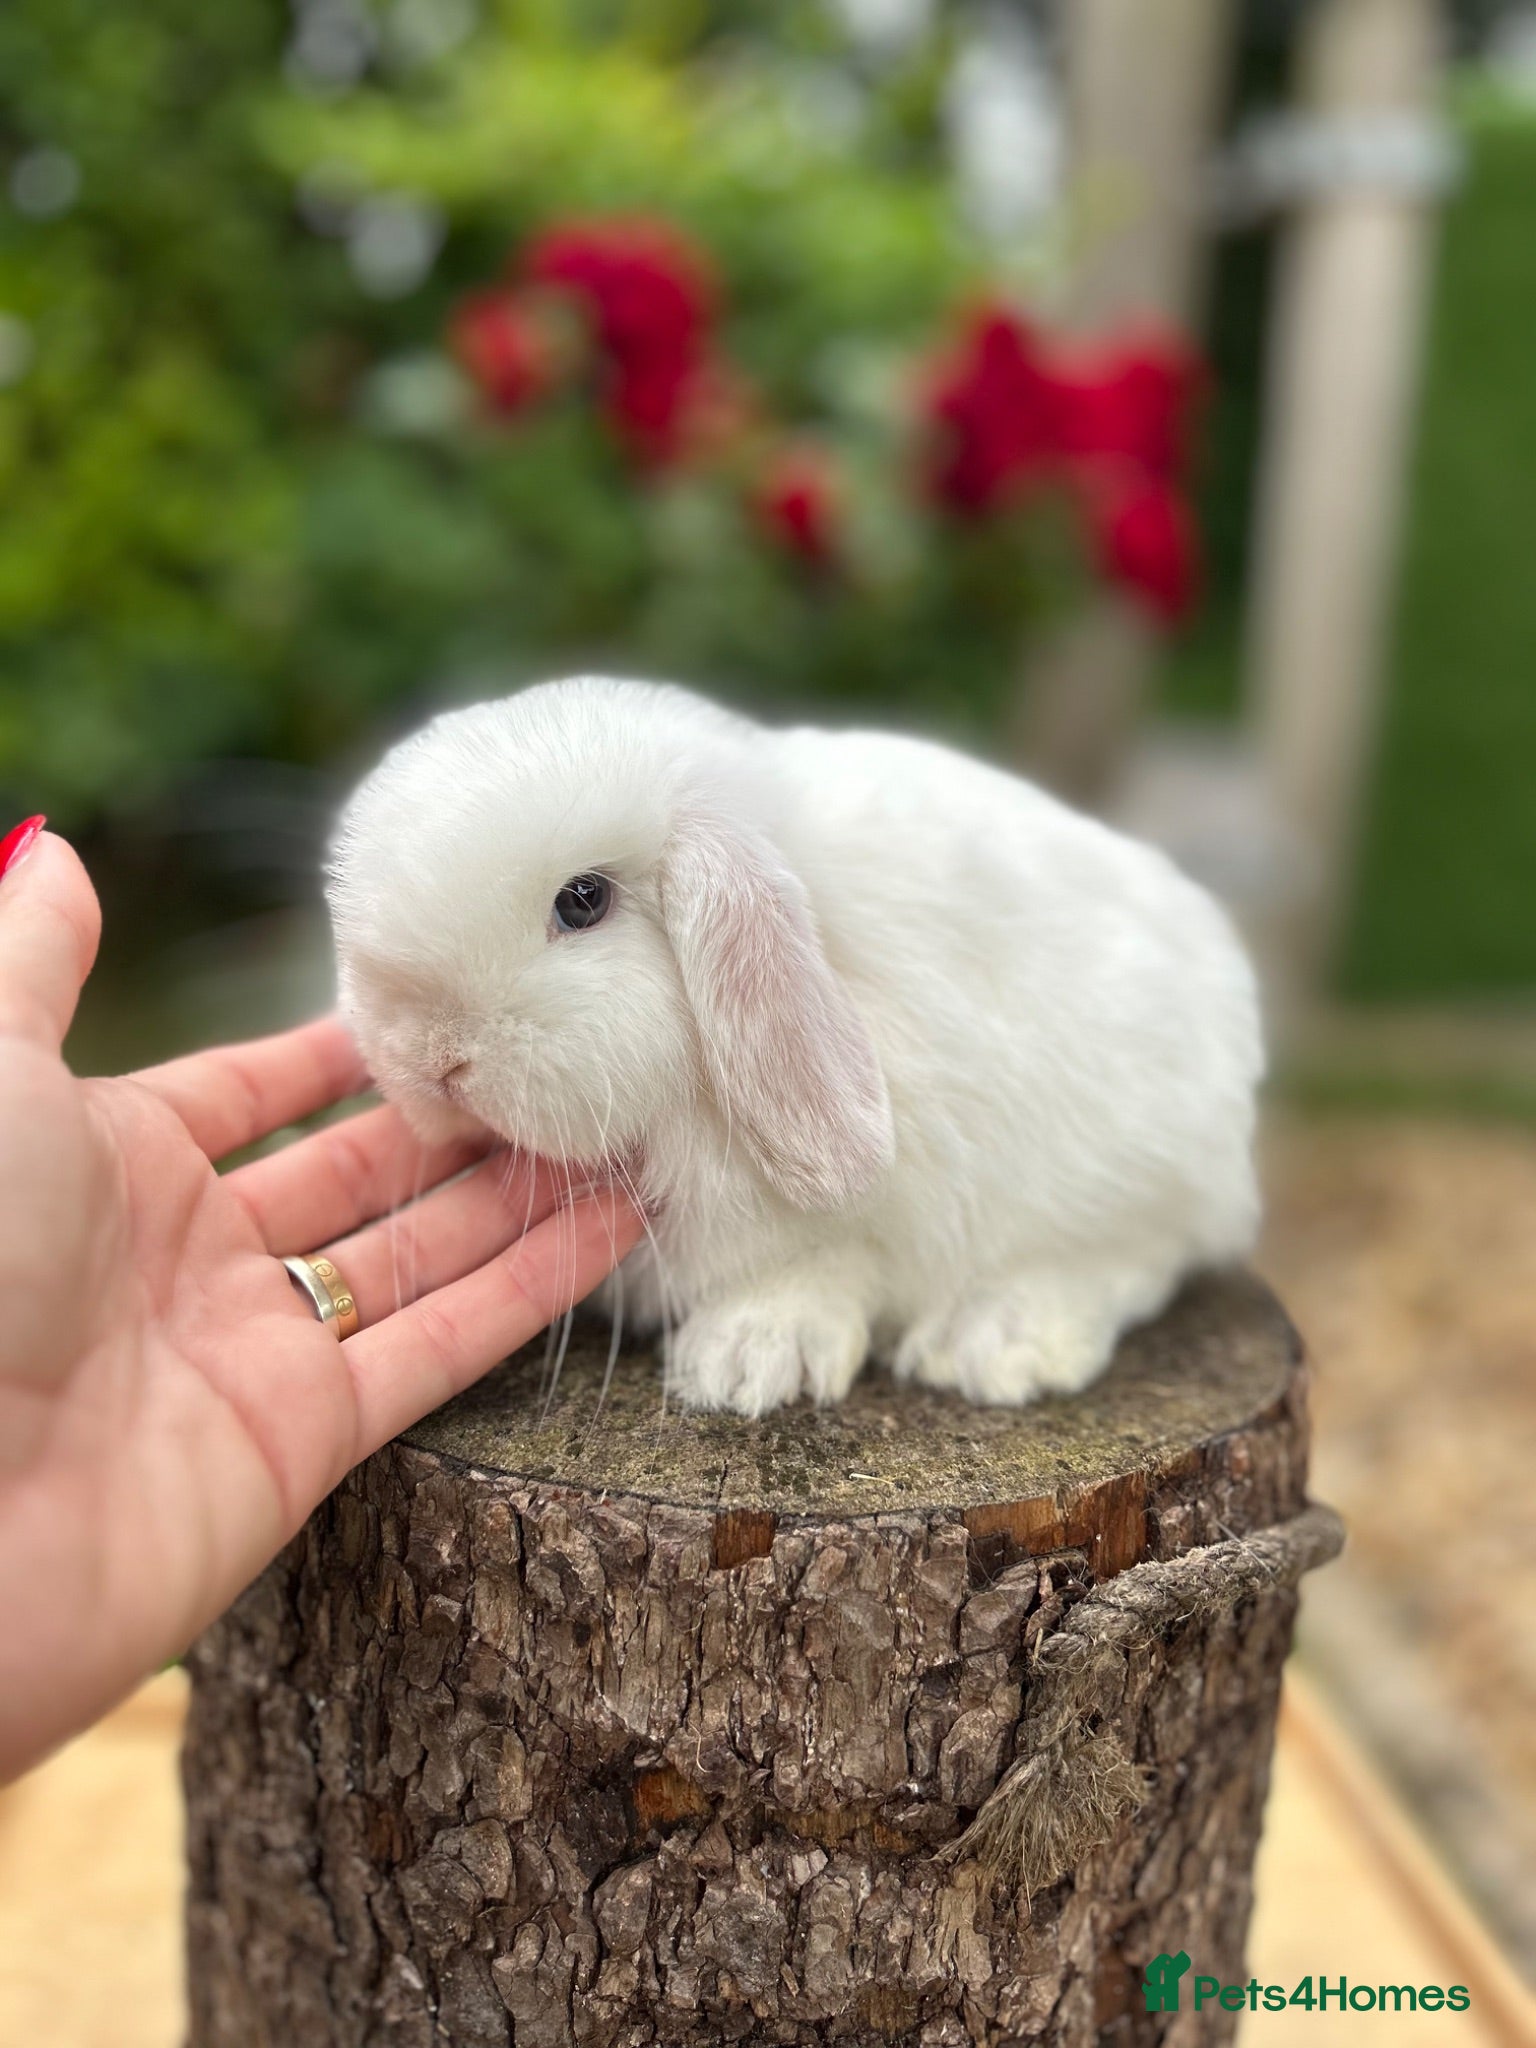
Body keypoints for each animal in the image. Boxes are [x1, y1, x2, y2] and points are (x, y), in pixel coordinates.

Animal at [326, 675, 1263, 1416]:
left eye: (583, 900)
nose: (433, 1061)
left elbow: (822, 1263)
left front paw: (741, 1365)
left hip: (1136, 1161)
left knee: (1135, 1256)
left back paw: (992, 1343)